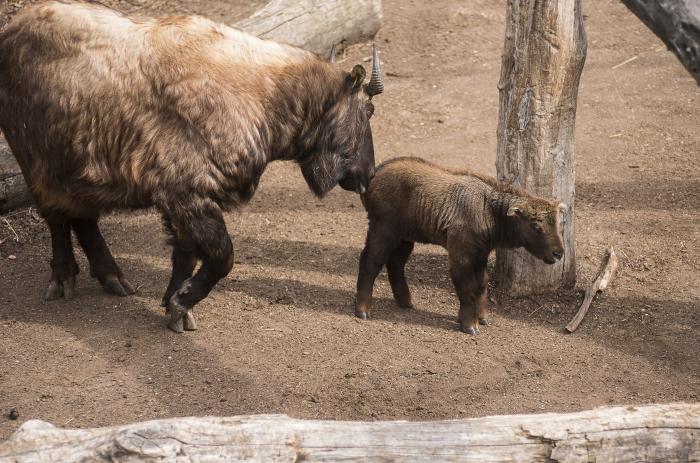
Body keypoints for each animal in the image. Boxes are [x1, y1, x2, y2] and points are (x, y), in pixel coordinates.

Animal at [0, 0, 382, 334]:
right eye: (368, 111)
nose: (367, 177)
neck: (264, 95)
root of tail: (10, 31)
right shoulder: (187, 194)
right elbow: (223, 256)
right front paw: (183, 301)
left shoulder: (183, 204)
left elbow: (185, 255)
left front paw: (175, 303)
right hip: (38, 164)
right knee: (57, 218)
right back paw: (63, 276)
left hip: (78, 169)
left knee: (84, 219)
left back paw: (112, 276)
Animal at [358, 158, 568, 336]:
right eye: (536, 226)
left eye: (559, 223)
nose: (558, 253)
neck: (486, 208)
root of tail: (376, 174)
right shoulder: (461, 256)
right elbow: (467, 288)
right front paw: (469, 324)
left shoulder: (481, 256)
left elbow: (481, 284)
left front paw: (482, 317)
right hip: (382, 231)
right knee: (370, 262)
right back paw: (362, 310)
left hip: (405, 238)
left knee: (395, 264)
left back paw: (405, 302)